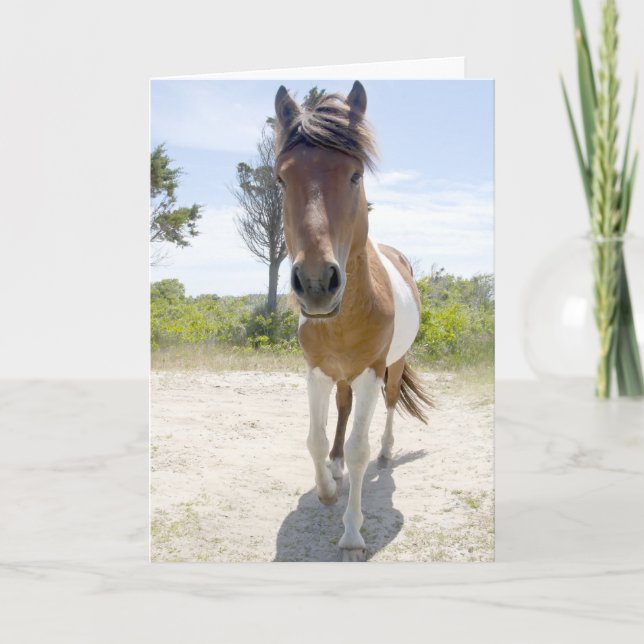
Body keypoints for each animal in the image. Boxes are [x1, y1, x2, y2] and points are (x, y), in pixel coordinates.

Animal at [274, 81, 432, 562]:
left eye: (355, 175)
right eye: (281, 178)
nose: (315, 282)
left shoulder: (368, 372)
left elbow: (359, 448)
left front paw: (351, 534)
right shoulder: (315, 372)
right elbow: (314, 438)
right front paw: (327, 485)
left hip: (393, 367)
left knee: (390, 405)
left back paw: (385, 455)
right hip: (340, 375)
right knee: (342, 412)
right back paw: (337, 466)